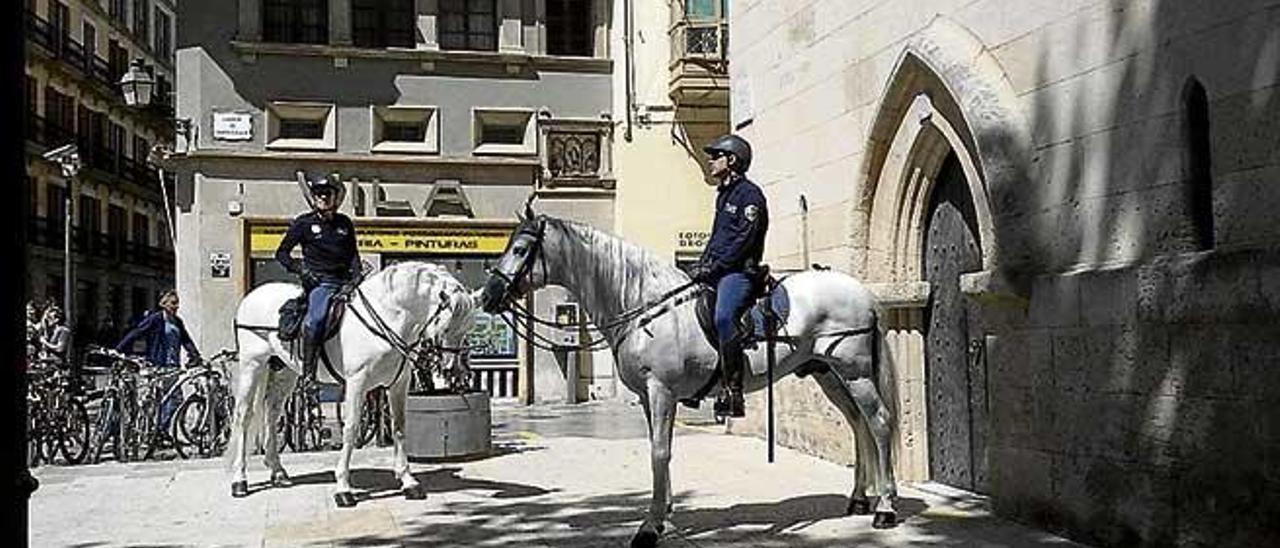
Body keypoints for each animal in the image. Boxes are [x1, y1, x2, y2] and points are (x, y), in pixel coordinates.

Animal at [225, 261, 476, 504]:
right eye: (446, 327)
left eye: (466, 329)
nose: (451, 369)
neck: (387, 316)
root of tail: (252, 296)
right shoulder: (357, 382)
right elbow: (351, 428)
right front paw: (343, 487)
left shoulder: (398, 384)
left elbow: (399, 427)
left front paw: (408, 481)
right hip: (252, 365)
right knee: (243, 416)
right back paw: (239, 480)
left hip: (286, 371)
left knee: (272, 411)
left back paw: (277, 471)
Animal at [481, 216, 901, 545]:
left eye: (521, 248)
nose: (489, 295)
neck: (645, 307)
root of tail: (863, 293)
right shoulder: (647, 397)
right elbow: (658, 449)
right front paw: (664, 511)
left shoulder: (661, 391)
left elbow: (659, 452)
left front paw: (650, 526)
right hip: (828, 375)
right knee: (858, 424)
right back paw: (859, 498)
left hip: (855, 373)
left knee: (879, 422)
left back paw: (885, 507)